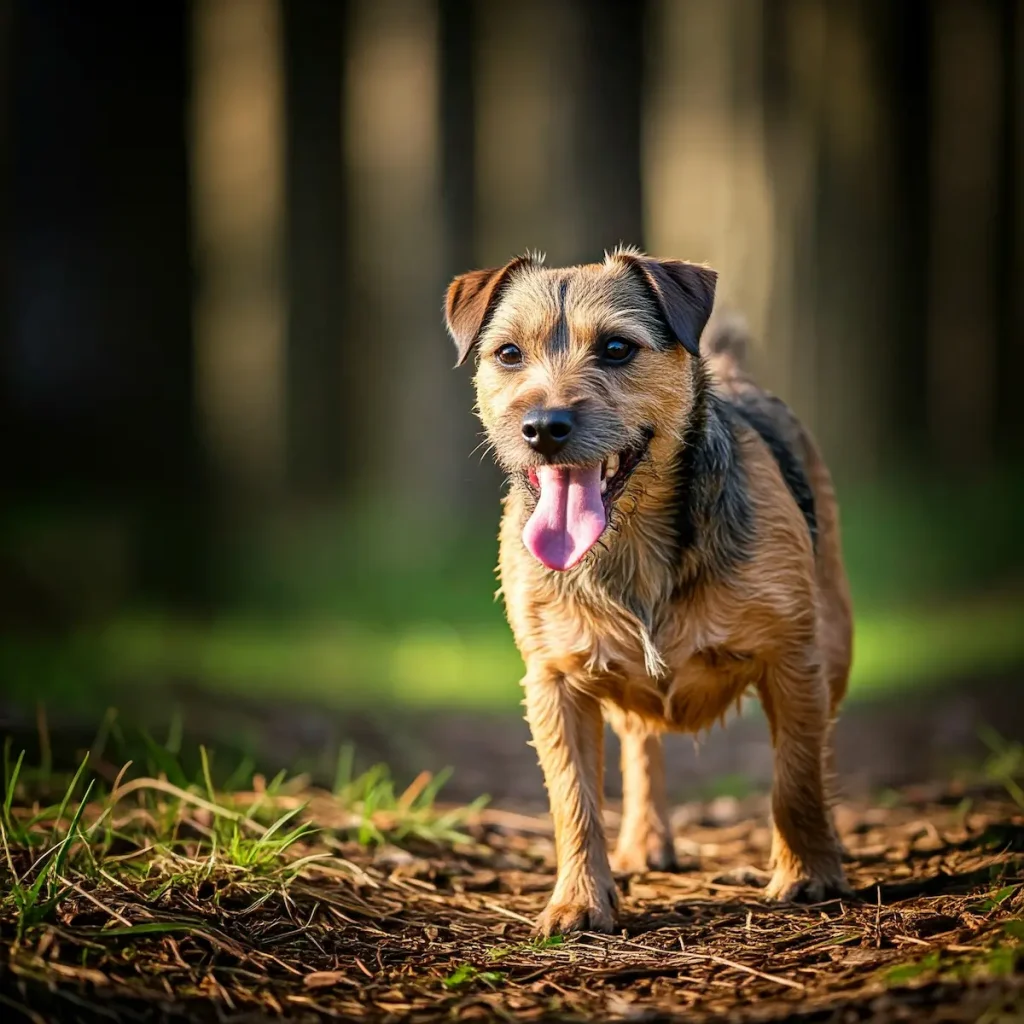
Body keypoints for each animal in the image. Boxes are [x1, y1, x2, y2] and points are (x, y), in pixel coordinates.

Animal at [444, 249, 851, 937]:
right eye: (508, 354)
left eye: (616, 348)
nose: (542, 428)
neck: (631, 545)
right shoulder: (554, 682)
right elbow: (573, 799)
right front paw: (579, 900)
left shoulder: (793, 658)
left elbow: (795, 775)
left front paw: (806, 875)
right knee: (641, 745)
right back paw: (645, 842)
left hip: (837, 640)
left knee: (820, 743)